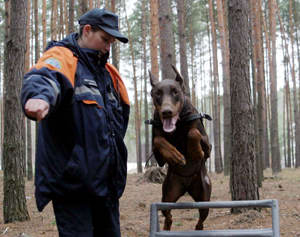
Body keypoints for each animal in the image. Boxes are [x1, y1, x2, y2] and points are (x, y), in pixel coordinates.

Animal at [149, 65, 212, 231]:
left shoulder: (208, 147)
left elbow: (193, 133)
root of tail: (186, 188)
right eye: (157, 93)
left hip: (204, 197)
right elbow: (158, 140)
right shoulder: (158, 157)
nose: (166, 112)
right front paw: (176, 156)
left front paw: (194, 153)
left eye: (175, 92)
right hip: (168, 194)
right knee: (168, 215)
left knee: (201, 220)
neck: (177, 126)